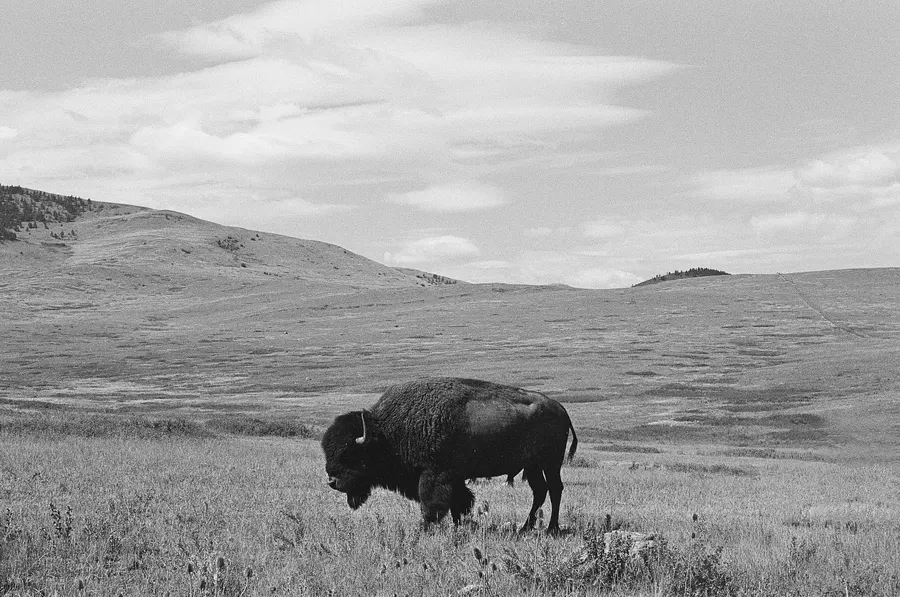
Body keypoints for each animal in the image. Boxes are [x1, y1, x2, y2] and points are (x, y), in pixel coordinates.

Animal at [321, 377, 578, 533]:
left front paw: (424, 528)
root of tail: (561, 409)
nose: (333, 481)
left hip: (551, 463)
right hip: (533, 466)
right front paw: (458, 525)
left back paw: (552, 528)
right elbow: (459, 500)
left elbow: (432, 504)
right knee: (540, 491)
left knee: (555, 489)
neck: (386, 432)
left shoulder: (434, 475)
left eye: (349, 454)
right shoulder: (454, 478)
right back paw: (526, 527)